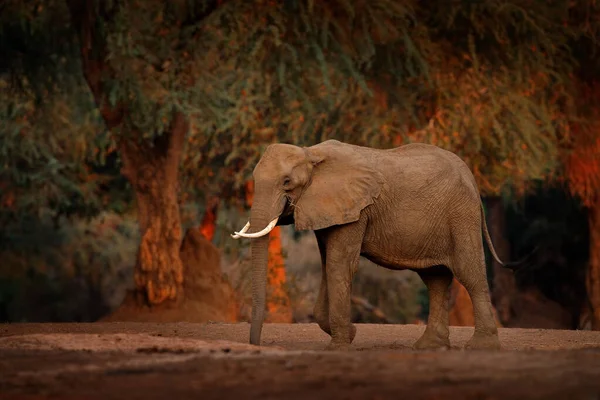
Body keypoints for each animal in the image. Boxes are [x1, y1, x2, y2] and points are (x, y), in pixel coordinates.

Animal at [232, 140, 512, 350]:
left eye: (287, 182)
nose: (256, 344)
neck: (311, 153)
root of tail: (471, 176)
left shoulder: (356, 209)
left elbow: (339, 265)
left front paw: (340, 346)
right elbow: (328, 264)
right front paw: (351, 334)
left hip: (461, 214)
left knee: (469, 273)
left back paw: (481, 347)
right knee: (435, 279)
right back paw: (430, 346)